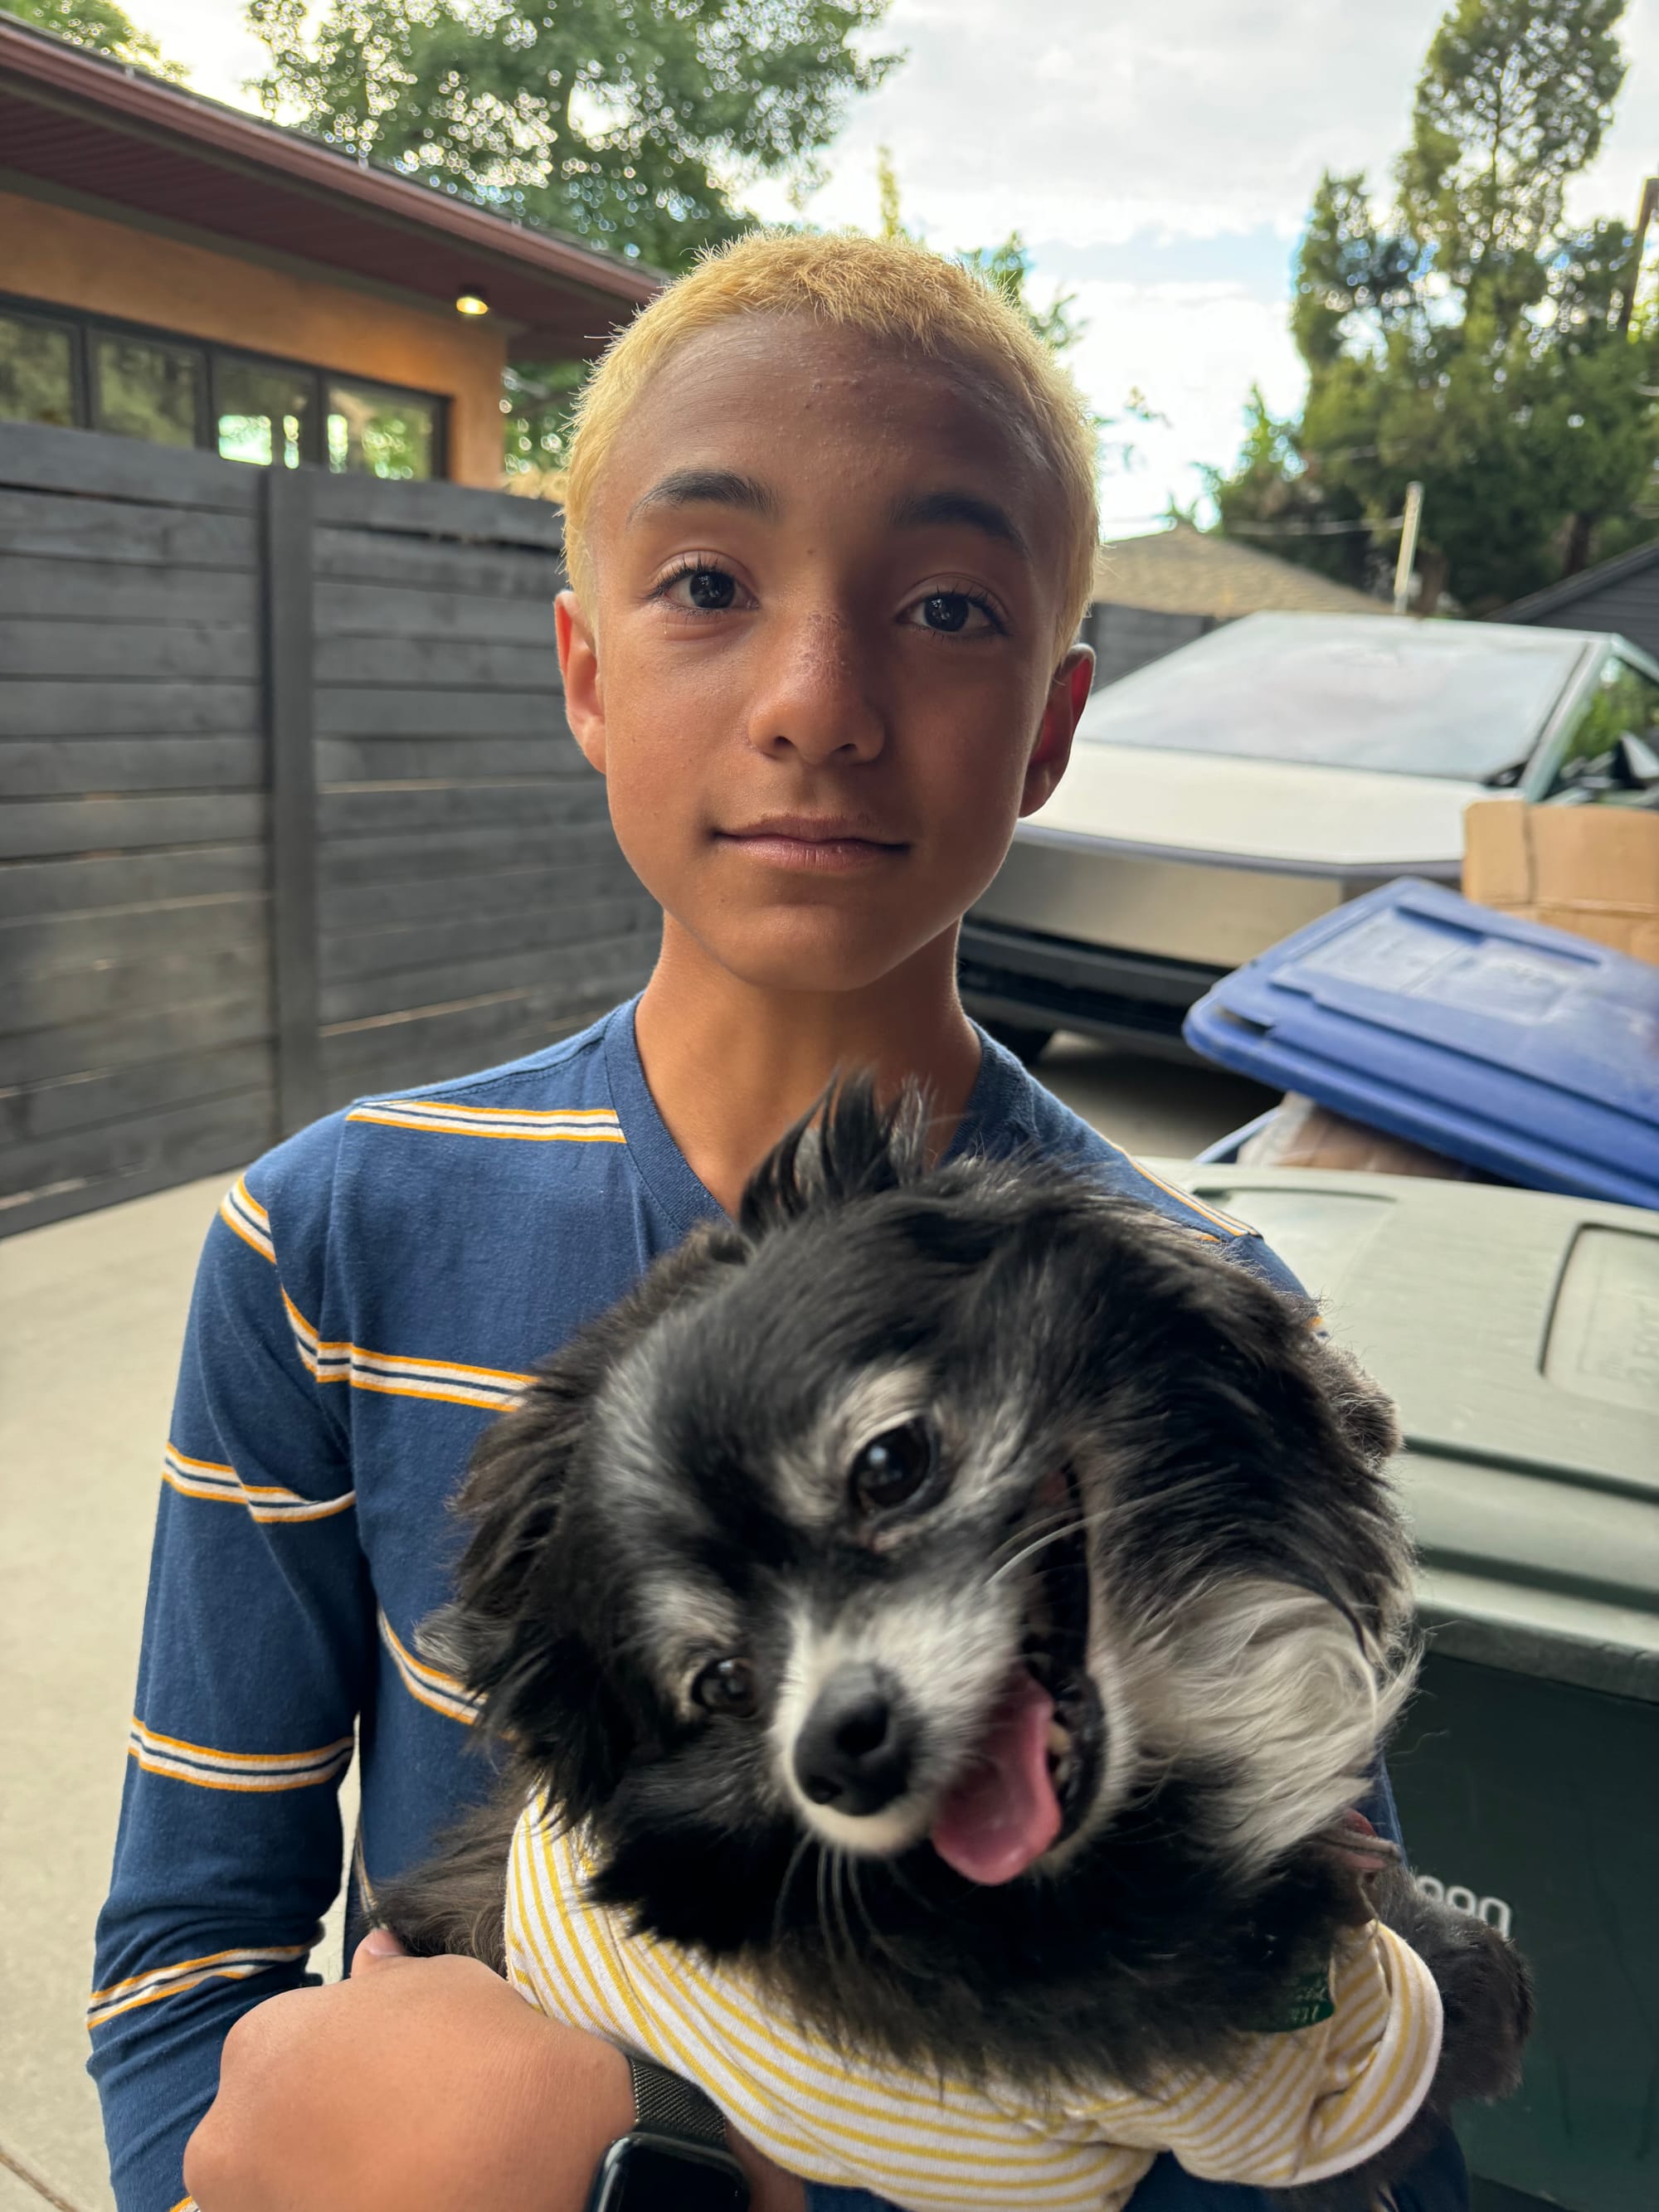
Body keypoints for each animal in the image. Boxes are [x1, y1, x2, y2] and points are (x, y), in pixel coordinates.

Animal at [379, 1079, 1531, 2207]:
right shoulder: (1288, 2100)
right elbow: (1427, 2030)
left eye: (889, 1466)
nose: (836, 1751)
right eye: (724, 1684)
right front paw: (1479, 1981)